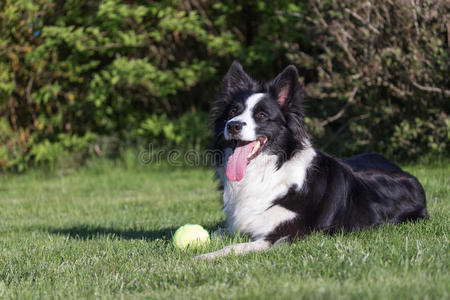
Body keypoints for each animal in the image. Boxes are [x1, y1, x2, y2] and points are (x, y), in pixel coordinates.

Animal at [195, 60, 428, 258]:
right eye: (233, 111)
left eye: (261, 115)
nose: (233, 125)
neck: (269, 169)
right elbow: (215, 231)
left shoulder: (284, 235)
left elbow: (233, 247)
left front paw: (201, 258)